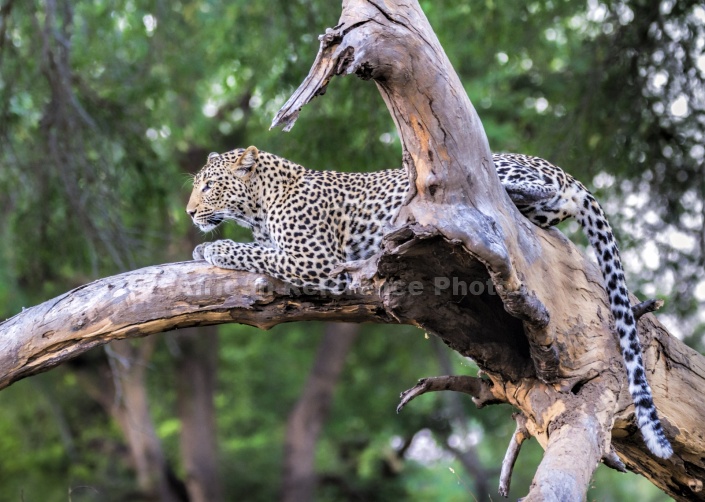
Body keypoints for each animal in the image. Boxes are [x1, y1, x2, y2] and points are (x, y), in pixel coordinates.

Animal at [186, 145, 672, 458]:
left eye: (208, 187)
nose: (190, 212)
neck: (260, 206)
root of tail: (562, 170)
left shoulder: (316, 260)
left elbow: (251, 252)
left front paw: (210, 248)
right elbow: (257, 249)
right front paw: (206, 245)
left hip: (500, 171)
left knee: (520, 188)